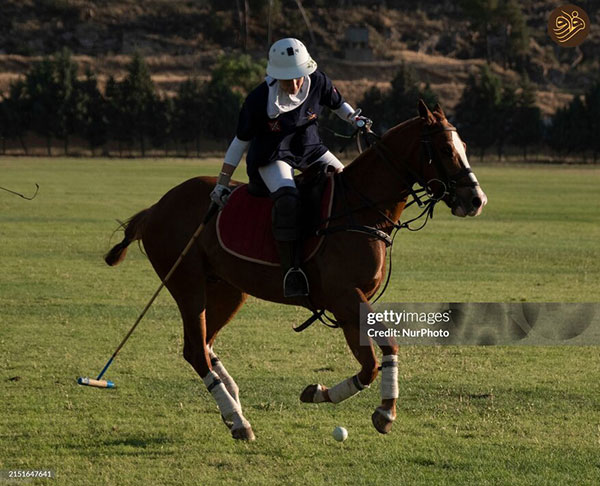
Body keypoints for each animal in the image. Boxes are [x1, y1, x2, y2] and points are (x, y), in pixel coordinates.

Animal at [103, 101, 488, 440]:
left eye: (465, 146)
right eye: (444, 149)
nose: (476, 200)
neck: (361, 209)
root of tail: (155, 208)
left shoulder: (348, 305)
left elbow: (372, 363)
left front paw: (328, 395)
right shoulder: (344, 296)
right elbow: (381, 351)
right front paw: (380, 410)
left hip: (228, 289)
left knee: (206, 345)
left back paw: (234, 408)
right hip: (188, 284)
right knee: (196, 350)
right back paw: (238, 422)